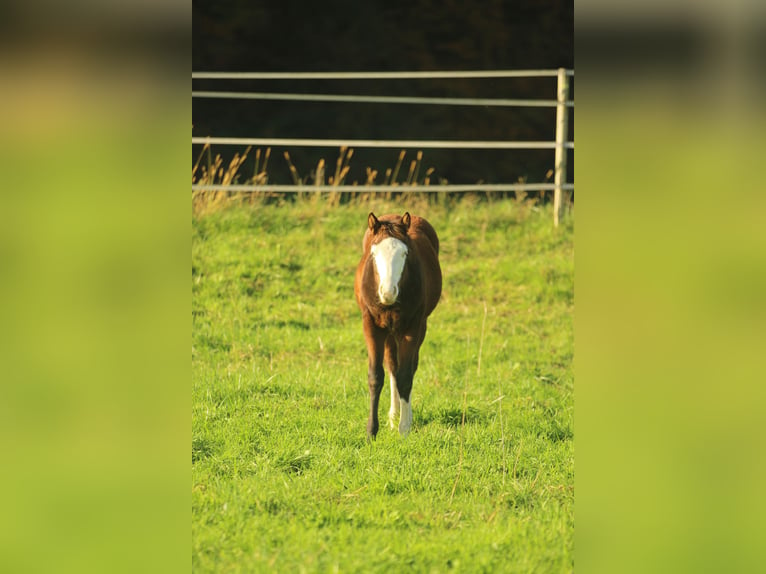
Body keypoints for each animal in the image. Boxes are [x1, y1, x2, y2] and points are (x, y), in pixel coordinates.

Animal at [356, 213, 444, 440]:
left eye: (405, 253)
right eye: (374, 253)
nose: (388, 292)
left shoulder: (412, 327)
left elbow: (406, 375)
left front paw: (404, 429)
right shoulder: (371, 325)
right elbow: (376, 376)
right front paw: (371, 431)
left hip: (418, 326)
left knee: (409, 367)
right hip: (388, 331)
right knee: (392, 365)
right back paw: (393, 415)